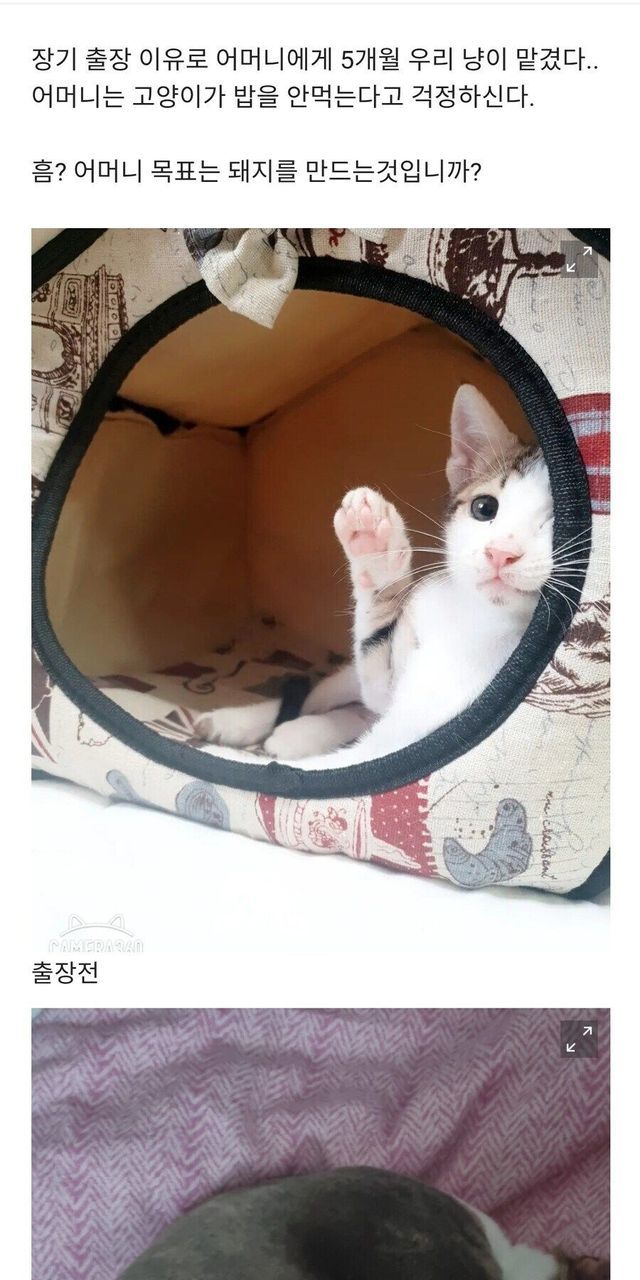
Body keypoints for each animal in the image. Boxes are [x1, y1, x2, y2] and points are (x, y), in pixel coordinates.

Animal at [195, 384, 561, 768]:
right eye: (485, 508)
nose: (500, 553)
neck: (480, 618)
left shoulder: (410, 741)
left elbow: (321, 770)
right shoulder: (390, 673)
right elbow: (372, 657)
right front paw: (376, 552)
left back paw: (295, 734)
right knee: (328, 688)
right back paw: (241, 720)